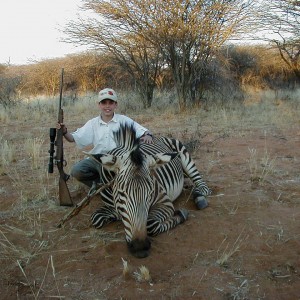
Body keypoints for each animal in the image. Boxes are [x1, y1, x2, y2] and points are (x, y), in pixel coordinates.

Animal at [86, 123, 211, 256]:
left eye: (151, 193)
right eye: (120, 193)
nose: (140, 247)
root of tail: (157, 136)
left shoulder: (165, 202)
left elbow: (151, 224)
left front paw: (181, 215)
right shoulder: (110, 206)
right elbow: (96, 218)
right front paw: (115, 216)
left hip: (185, 158)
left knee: (202, 186)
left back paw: (199, 198)